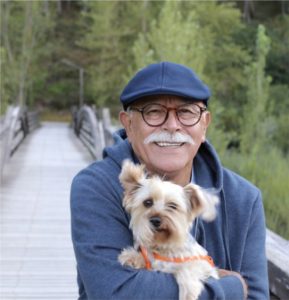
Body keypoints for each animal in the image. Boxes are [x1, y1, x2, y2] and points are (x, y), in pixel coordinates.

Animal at [117, 161, 218, 300]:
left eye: (173, 206)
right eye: (147, 202)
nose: (155, 220)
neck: (164, 248)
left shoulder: (204, 266)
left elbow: (188, 268)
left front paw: (188, 291)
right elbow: (147, 259)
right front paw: (131, 256)